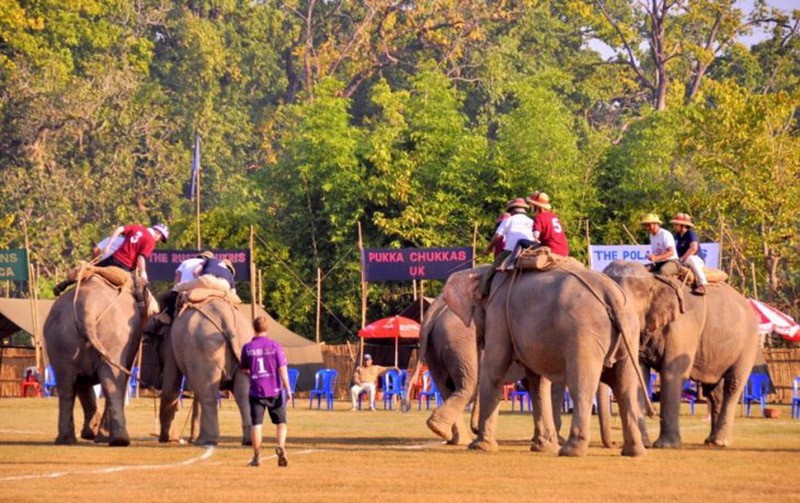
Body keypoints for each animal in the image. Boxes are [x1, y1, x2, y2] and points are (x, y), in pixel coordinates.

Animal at [43, 276, 142, 444]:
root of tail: (87, 306)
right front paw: (92, 433)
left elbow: (81, 383)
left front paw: (90, 433)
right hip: (113, 338)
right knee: (112, 382)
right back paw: (118, 440)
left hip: (59, 339)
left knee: (66, 386)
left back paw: (65, 440)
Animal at [157, 298, 253, 446]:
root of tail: (226, 319)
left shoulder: (171, 343)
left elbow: (171, 386)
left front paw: (166, 439)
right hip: (244, 344)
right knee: (243, 394)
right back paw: (248, 441)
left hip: (204, 348)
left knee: (208, 394)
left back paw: (205, 441)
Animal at [444, 264, 648, 456]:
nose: (475, 430)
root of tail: (610, 293)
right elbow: (538, 381)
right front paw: (543, 447)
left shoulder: (498, 312)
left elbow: (495, 368)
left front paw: (479, 446)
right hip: (629, 331)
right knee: (626, 386)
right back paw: (633, 451)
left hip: (584, 334)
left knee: (581, 384)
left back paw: (570, 450)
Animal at [604, 260, 760, 448]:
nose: (653, 413)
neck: (654, 279)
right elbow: (639, 373)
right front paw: (645, 444)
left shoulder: (683, 323)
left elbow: (673, 372)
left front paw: (665, 446)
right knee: (713, 390)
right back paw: (710, 441)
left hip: (748, 344)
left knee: (733, 383)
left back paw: (720, 442)